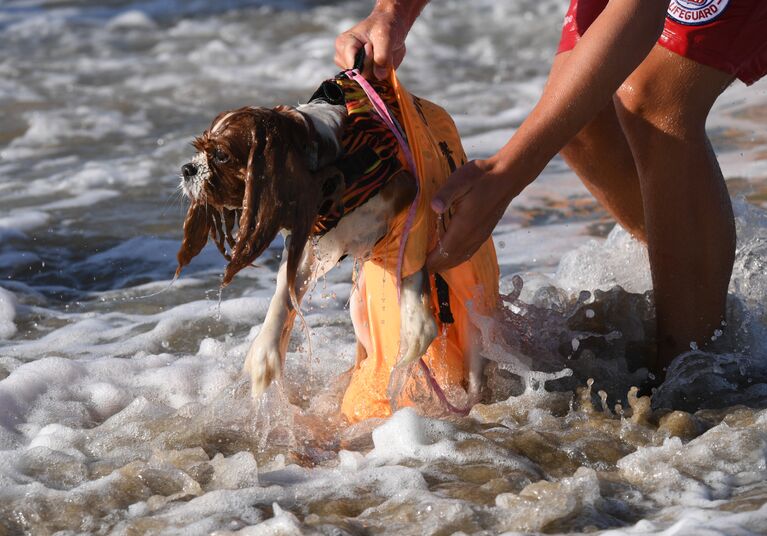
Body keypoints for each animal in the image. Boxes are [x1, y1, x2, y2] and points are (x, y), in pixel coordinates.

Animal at [175, 74, 472, 402]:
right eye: (198, 148)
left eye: (221, 155)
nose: (187, 168)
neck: (341, 170)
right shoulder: (308, 244)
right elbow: (283, 293)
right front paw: (265, 351)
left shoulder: (411, 207)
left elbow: (412, 278)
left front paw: (415, 326)